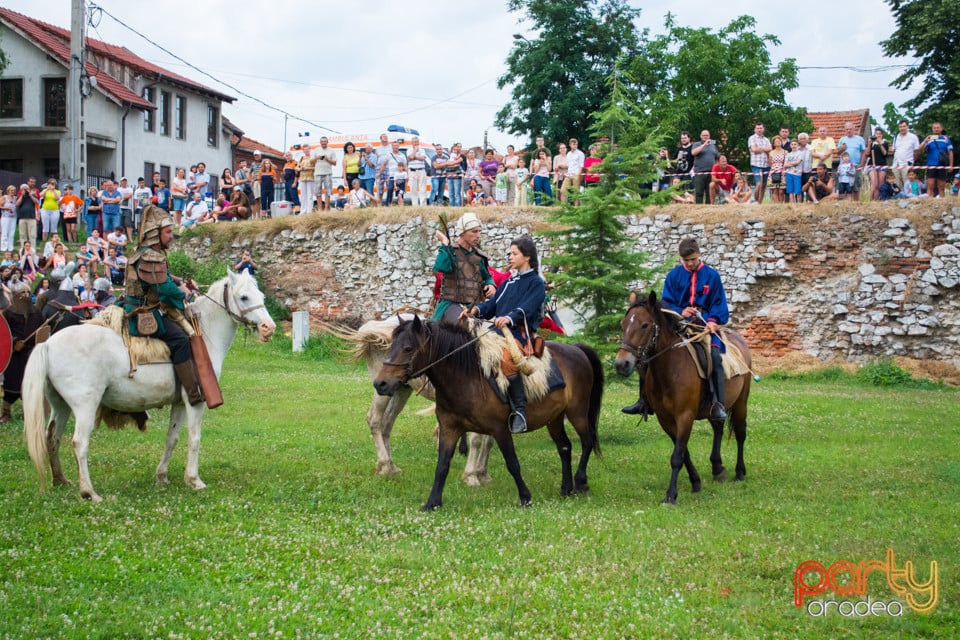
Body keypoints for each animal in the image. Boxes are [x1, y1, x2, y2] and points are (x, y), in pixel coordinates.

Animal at [22, 268, 276, 500]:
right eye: (244, 297)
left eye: (261, 295)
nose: (268, 328)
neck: (205, 334)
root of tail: (48, 344)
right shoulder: (196, 401)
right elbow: (194, 438)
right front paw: (194, 480)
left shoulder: (180, 402)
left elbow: (172, 438)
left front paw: (162, 476)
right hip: (85, 406)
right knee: (79, 442)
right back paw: (89, 492)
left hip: (61, 405)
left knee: (52, 437)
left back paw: (61, 480)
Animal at [330, 316, 496, 484]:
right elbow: (476, 439)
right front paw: (471, 475)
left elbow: (488, 441)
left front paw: (483, 473)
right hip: (383, 391)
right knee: (374, 420)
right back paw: (385, 464)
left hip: (400, 390)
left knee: (386, 423)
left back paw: (391, 466)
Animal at [374, 316, 604, 510]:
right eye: (391, 346)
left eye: (408, 348)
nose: (380, 384)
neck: (467, 377)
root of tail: (576, 349)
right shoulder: (450, 429)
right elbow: (442, 466)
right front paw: (432, 503)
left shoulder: (500, 429)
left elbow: (513, 463)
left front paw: (525, 497)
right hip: (554, 418)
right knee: (564, 447)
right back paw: (566, 488)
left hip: (577, 412)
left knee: (587, 442)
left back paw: (581, 483)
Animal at [616, 290, 752, 504]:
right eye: (623, 324)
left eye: (645, 325)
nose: (622, 364)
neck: (669, 370)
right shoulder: (666, 419)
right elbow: (683, 452)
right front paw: (695, 482)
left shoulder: (685, 415)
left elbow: (677, 456)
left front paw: (671, 495)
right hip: (714, 409)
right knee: (718, 428)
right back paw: (717, 468)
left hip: (741, 403)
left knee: (740, 433)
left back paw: (739, 472)